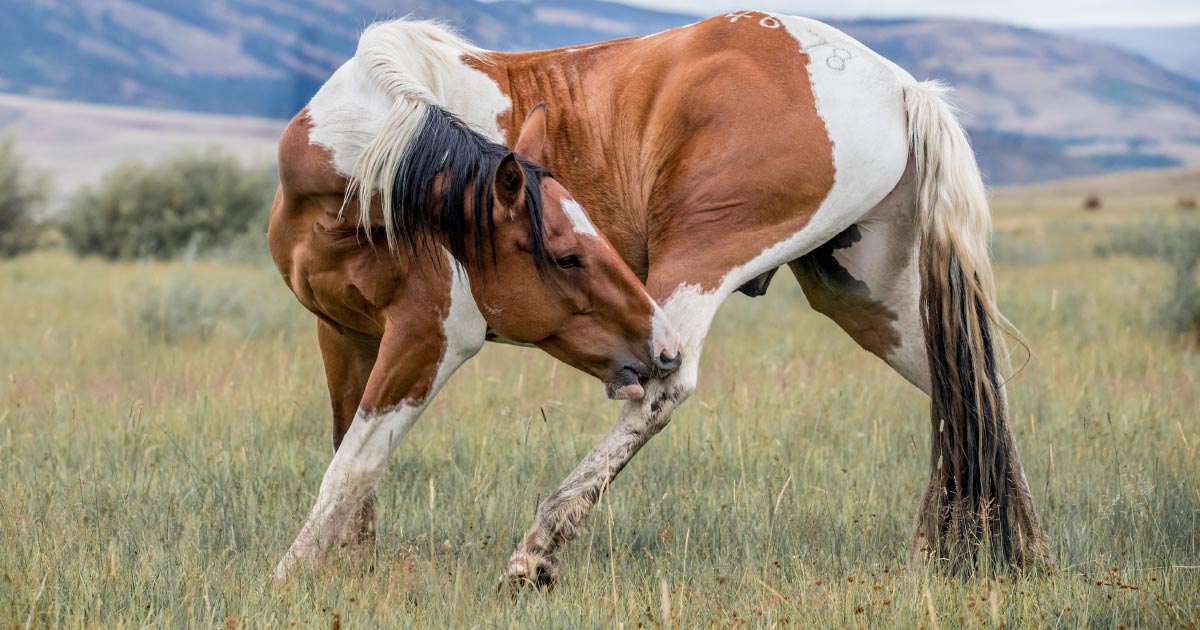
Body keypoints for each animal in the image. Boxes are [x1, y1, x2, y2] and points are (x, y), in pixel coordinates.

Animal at [270, 12, 1051, 585]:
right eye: (567, 253)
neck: (362, 172)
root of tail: (899, 86)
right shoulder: (342, 331)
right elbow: (353, 451)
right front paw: (352, 569)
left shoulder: (429, 336)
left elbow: (355, 460)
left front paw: (293, 572)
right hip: (869, 300)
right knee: (970, 387)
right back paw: (1007, 552)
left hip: (695, 266)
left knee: (661, 394)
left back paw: (537, 550)